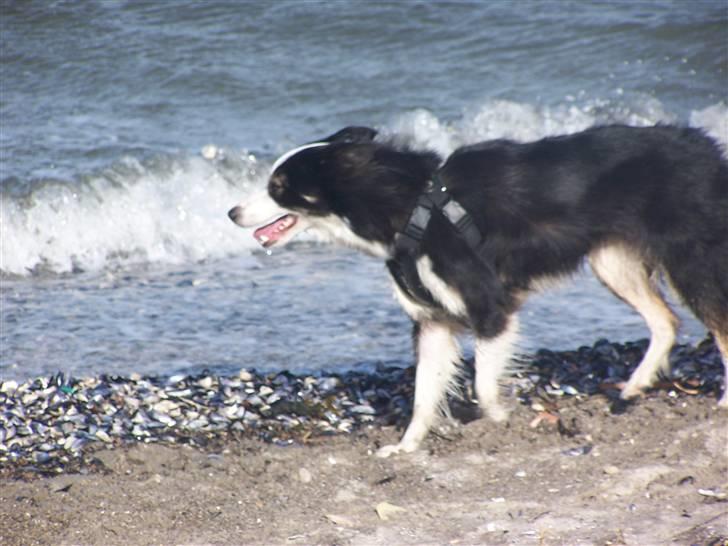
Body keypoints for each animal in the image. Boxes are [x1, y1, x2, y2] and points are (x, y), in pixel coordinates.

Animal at [230, 124, 728, 454]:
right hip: (613, 262)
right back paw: (635, 386)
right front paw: (406, 449)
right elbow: (423, 396)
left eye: (278, 187)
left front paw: (504, 420)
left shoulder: (490, 307)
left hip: (690, 257)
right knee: (665, 321)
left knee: (716, 324)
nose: (232, 213)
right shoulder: (431, 322)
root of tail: (705, 145)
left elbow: (484, 388)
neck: (408, 207)